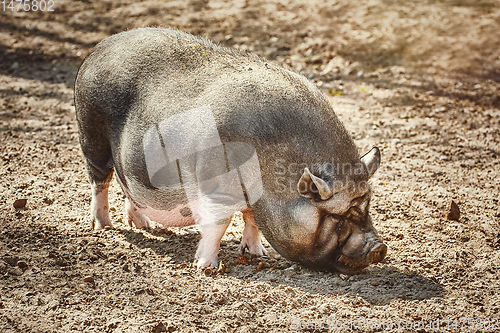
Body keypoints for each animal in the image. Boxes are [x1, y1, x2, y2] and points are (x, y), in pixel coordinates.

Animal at [75, 27, 386, 272]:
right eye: (339, 218)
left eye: (367, 207)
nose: (379, 248)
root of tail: (98, 49)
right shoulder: (216, 188)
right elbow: (219, 224)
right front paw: (206, 267)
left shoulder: (254, 200)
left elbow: (252, 221)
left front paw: (258, 254)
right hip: (90, 135)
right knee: (99, 180)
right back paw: (104, 228)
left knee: (126, 184)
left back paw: (144, 226)